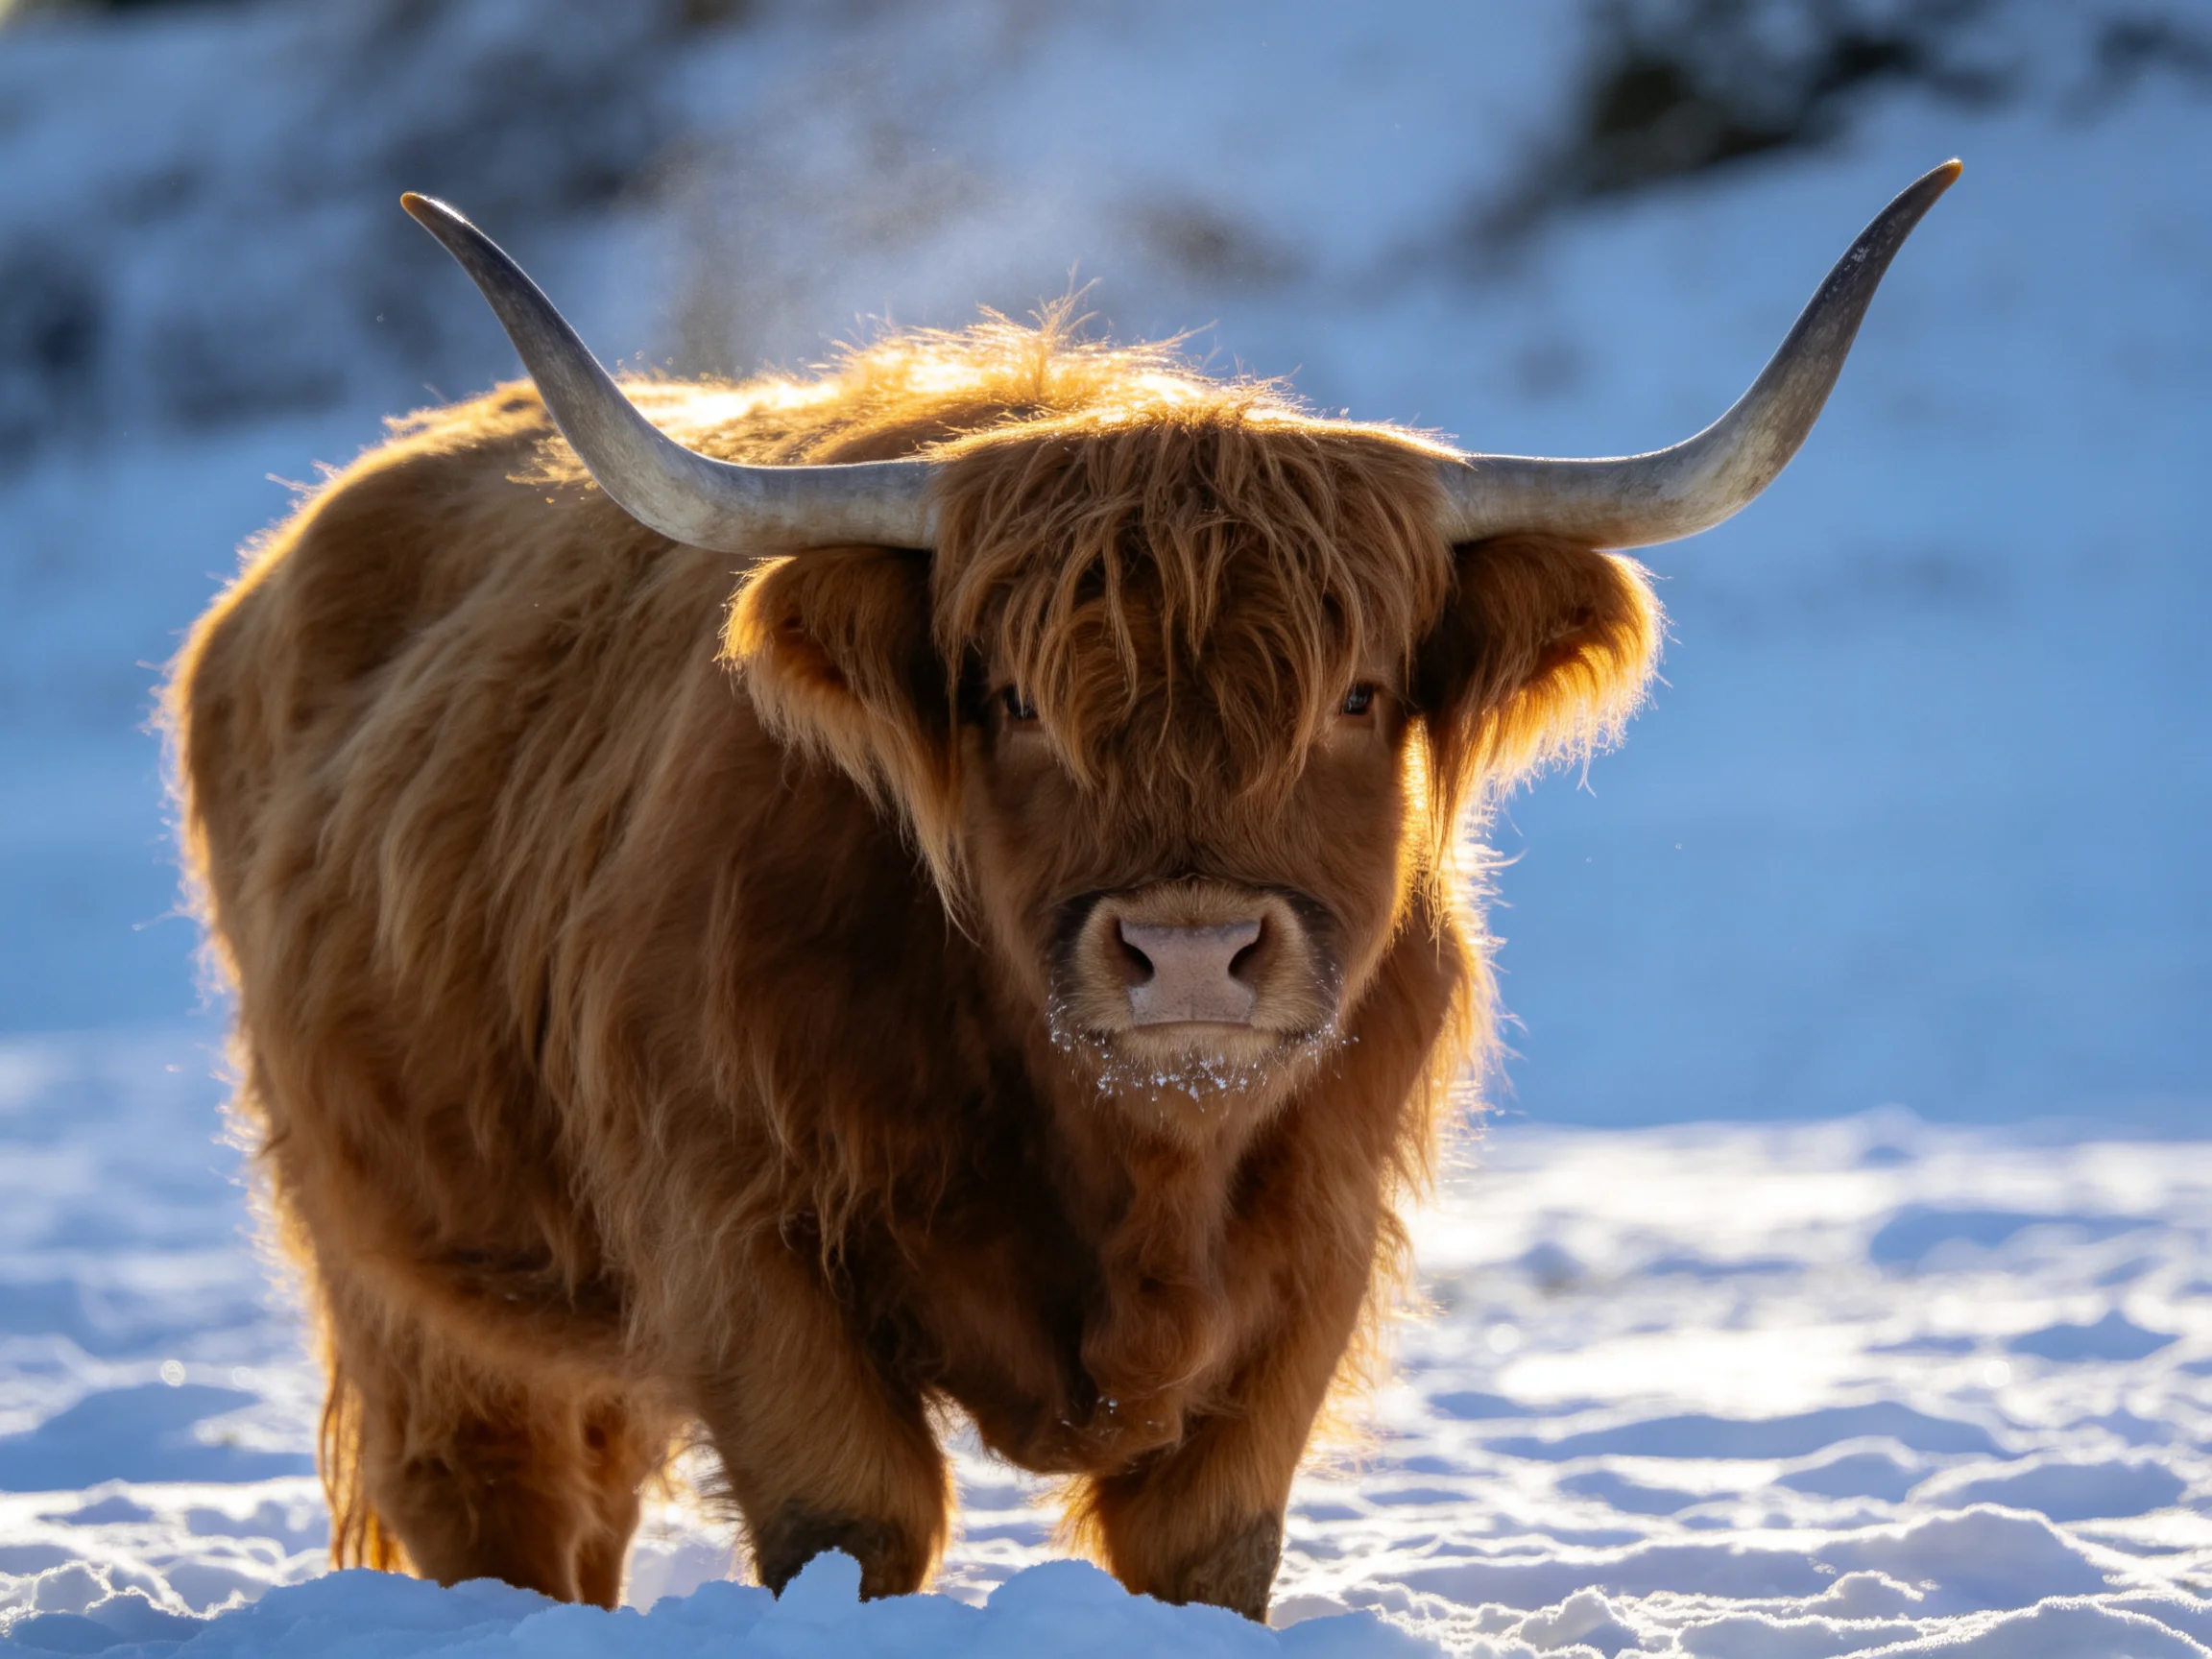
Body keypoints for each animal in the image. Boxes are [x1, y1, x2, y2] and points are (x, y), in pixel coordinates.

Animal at [166, 161, 1957, 1620]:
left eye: (1359, 693)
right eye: (1016, 702)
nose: (1189, 953)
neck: (1123, 1168)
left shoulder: (1313, 1256)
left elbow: (1207, 1547)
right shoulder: (736, 1232)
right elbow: (853, 1520)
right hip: (396, 1265)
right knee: (490, 1499)